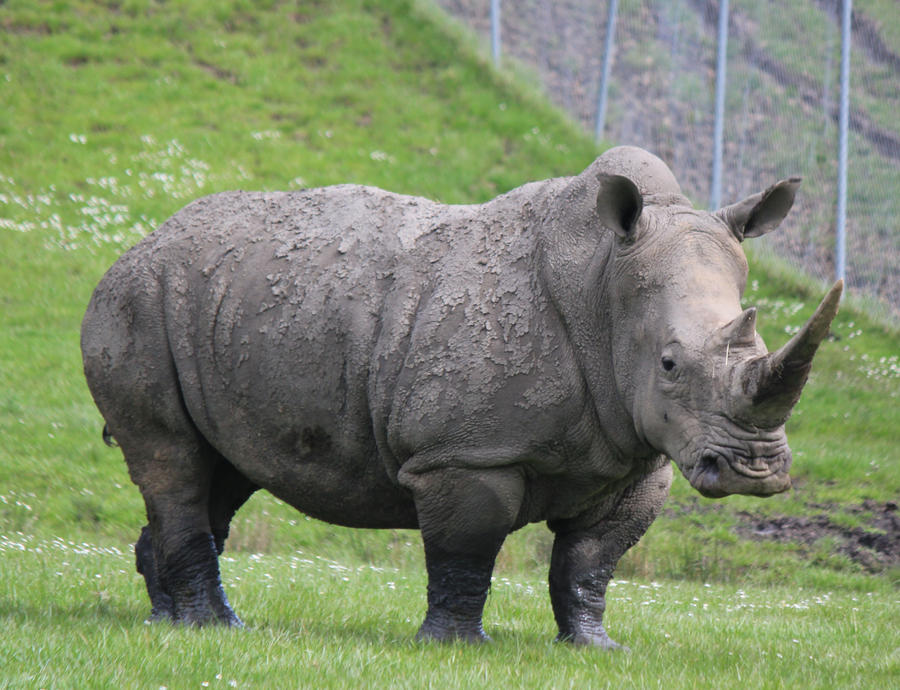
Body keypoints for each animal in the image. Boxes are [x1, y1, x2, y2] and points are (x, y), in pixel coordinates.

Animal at [81, 145, 842, 648]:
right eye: (670, 364)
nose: (755, 470)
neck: (603, 291)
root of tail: (136, 243)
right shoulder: (466, 452)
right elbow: (468, 549)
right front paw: (454, 648)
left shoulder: (639, 453)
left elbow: (592, 560)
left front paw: (594, 648)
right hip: (136, 304)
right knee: (173, 458)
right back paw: (215, 629)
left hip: (219, 311)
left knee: (223, 468)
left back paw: (168, 622)